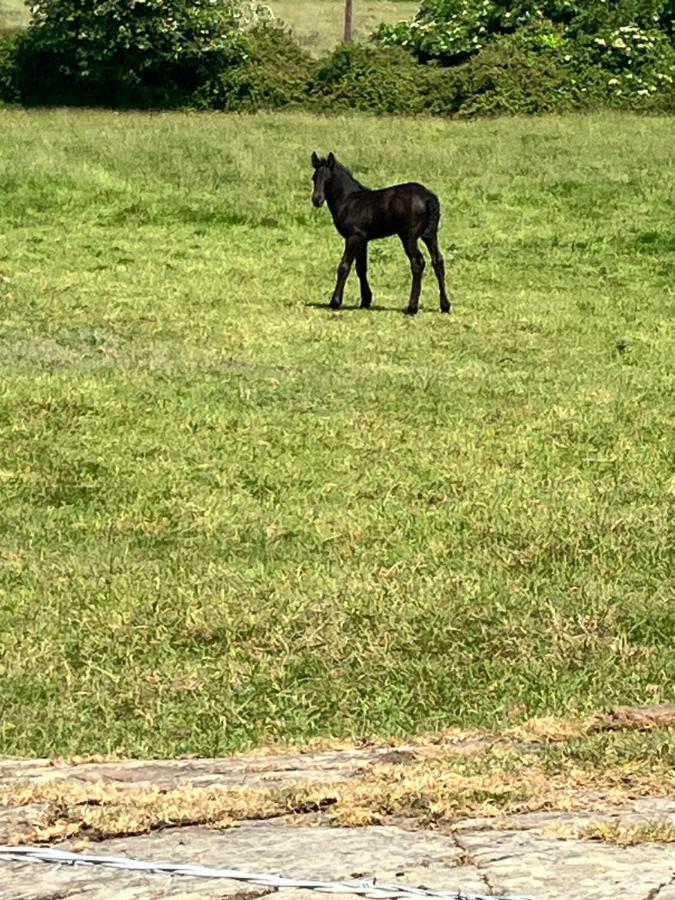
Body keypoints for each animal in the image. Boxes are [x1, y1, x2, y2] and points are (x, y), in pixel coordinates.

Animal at [312, 149, 452, 314]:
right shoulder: (363, 239)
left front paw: (335, 302)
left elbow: (344, 266)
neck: (349, 201)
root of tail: (427, 197)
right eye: (314, 178)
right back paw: (445, 306)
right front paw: (366, 300)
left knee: (417, 262)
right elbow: (361, 268)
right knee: (438, 261)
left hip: (409, 236)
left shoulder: (353, 237)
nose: (317, 200)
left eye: (328, 179)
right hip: (430, 235)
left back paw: (412, 307)